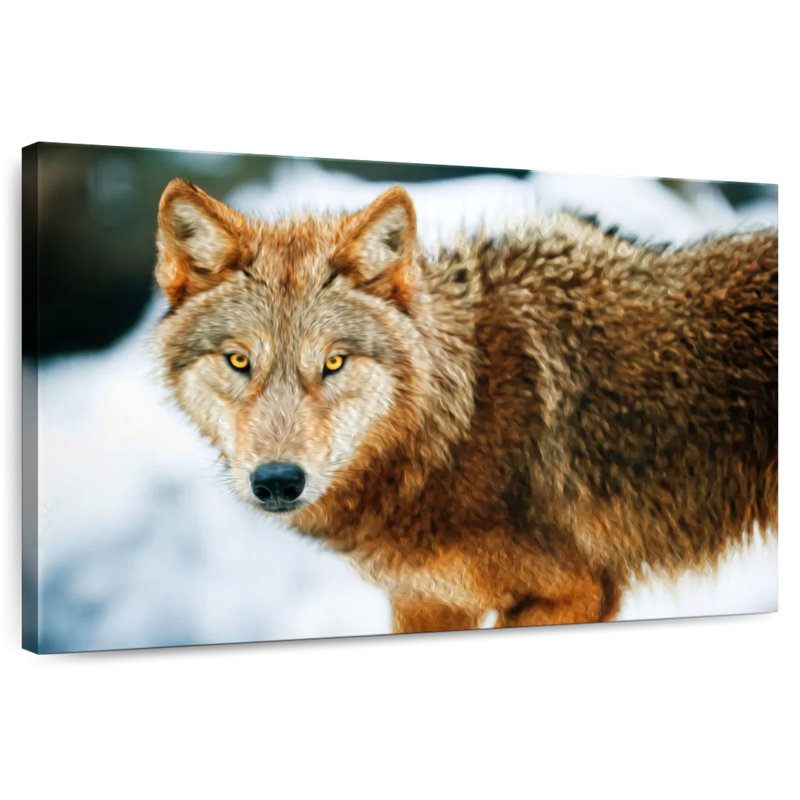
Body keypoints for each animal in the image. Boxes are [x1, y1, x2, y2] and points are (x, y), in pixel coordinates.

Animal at [154, 178, 778, 634]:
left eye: (333, 363)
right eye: (239, 361)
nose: (279, 481)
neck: (462, 417)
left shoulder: (573, 592)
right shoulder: (425, 601)